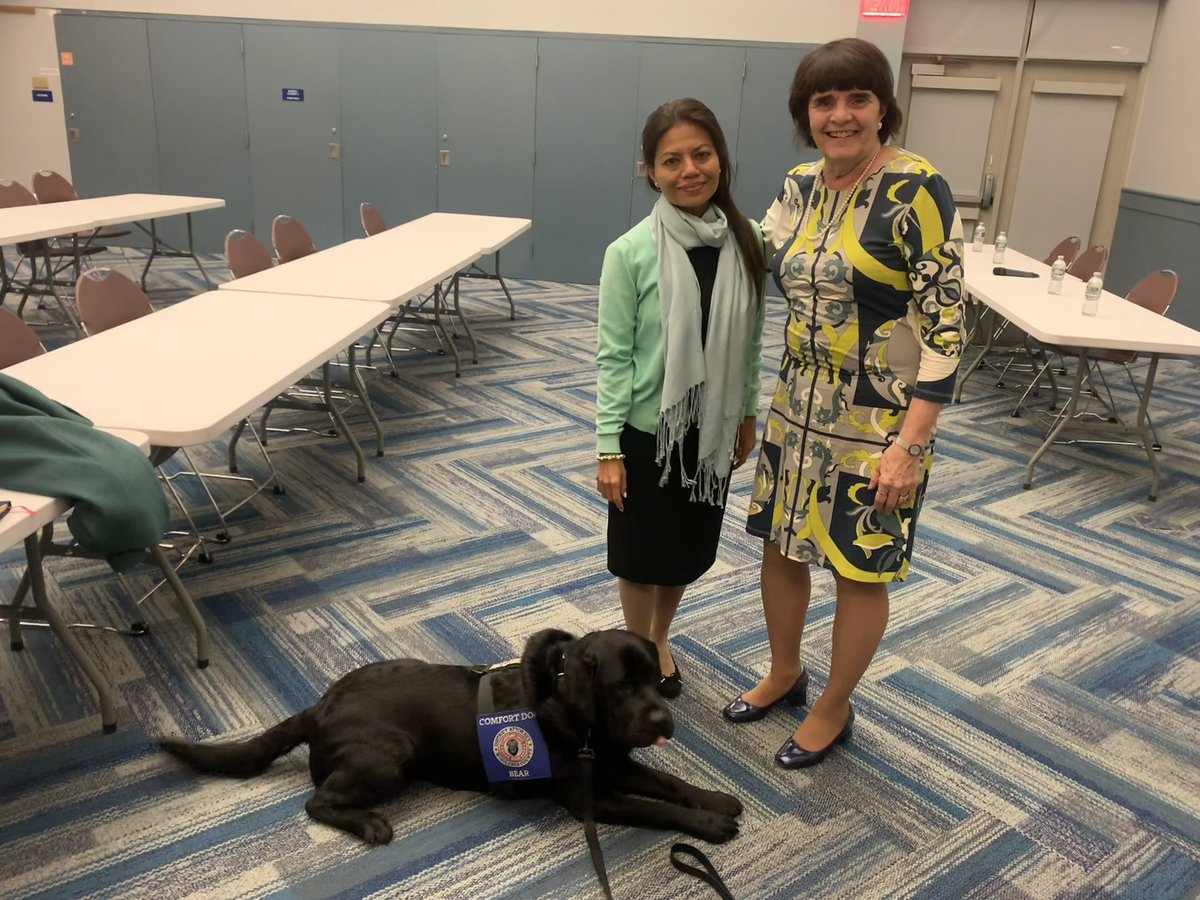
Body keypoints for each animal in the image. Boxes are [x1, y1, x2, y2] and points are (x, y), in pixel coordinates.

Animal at [159, 633, 739, 844]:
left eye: (658, 679)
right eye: (623, 685)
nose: (664, 721)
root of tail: (319, 705)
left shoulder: (613, 761)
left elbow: (666, 782)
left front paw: (715, 798)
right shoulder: (590, 796)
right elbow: (654, 807)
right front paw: (709, 824)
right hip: (391, 755)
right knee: (316, 800)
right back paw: (368, 823)